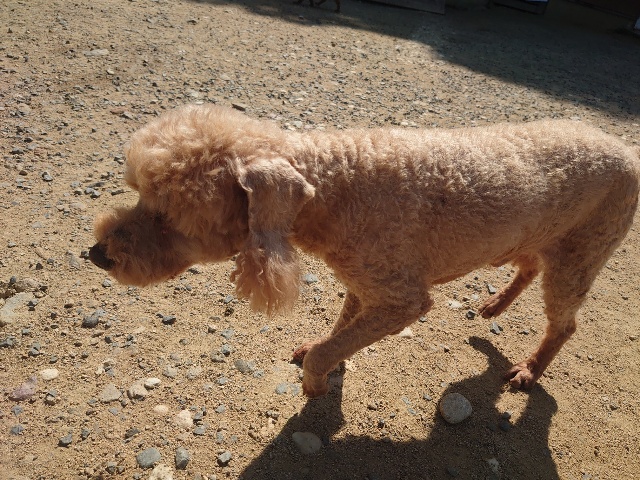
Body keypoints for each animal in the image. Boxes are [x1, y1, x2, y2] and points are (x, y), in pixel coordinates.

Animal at [90, 104, 639, 398]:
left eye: (167, 216)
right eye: (138, 194)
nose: (97, 254)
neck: (336, 189)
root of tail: (627, 149)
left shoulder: (402, 299)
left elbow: (335, 346)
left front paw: (315, 381)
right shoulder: (363, 280)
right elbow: (341, 327)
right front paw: (323, 349)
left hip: (581, 252)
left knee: (564, 323)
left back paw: (529, 370)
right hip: (538, 235)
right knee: (525, 265)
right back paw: (493, 306)